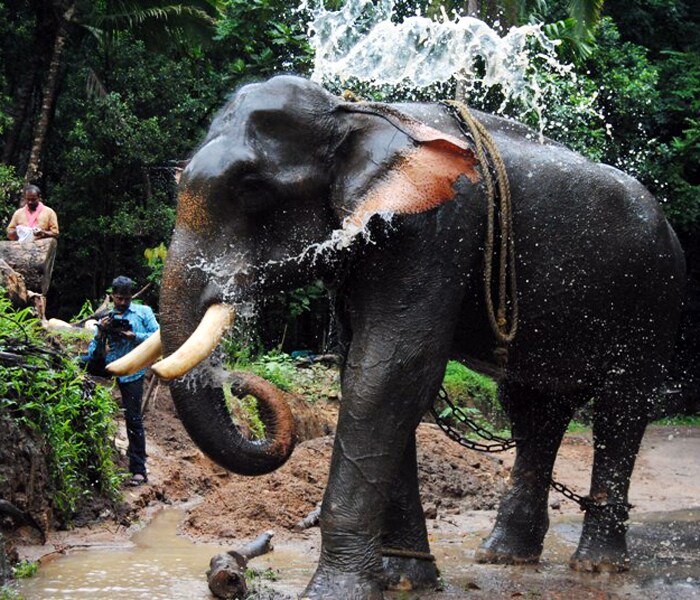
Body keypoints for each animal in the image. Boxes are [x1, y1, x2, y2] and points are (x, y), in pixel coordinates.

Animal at [108, 75, 685, 599]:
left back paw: (596, 566)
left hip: (653, 298)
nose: (242, 384)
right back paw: (504, 556)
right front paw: (404, 580)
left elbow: (393, 370)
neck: (352, 113)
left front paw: (336, 593)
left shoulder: (436, 227)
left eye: (252, 188)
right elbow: (370, 374)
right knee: (532, 410)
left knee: (620, 407)